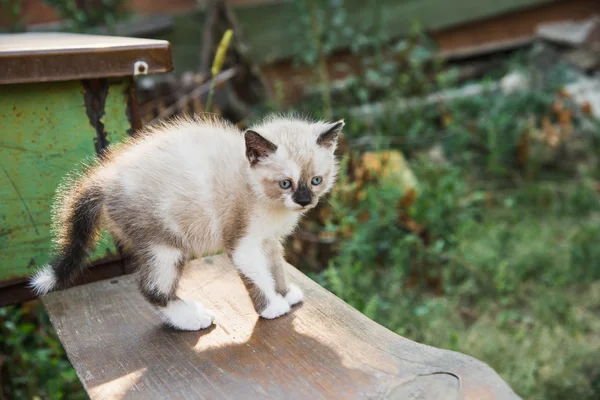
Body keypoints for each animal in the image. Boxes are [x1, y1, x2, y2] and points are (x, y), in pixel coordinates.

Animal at [30, 114, 344, 330]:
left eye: (316, 180)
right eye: (285, 183)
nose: (304, 201)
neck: (257, 189)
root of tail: (105, 178)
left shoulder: (268, 240)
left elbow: (276, 268)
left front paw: (285, 293)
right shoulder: (242, 243)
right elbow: (257, 275)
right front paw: (272, 308)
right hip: (164, 245)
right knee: (151, 288)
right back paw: (191, 318)